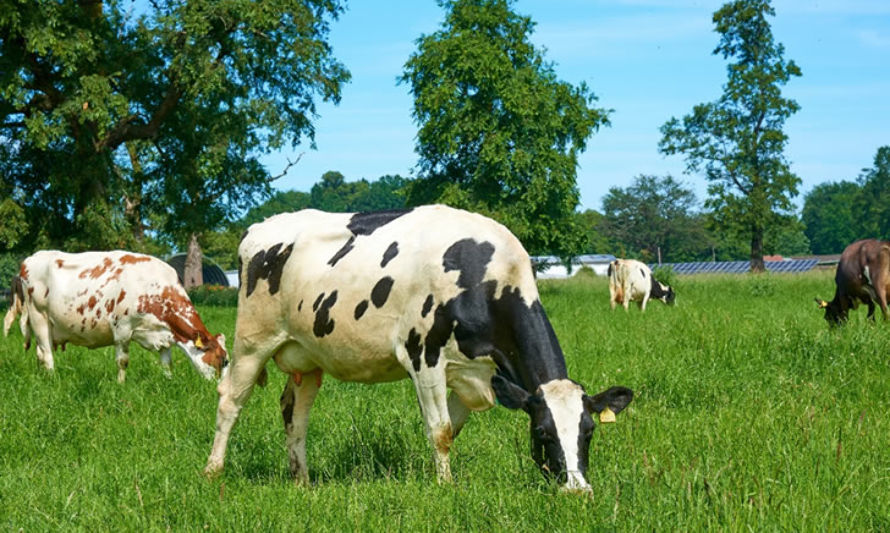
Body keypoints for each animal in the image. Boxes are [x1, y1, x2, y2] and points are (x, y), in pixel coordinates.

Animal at [8, 250, 227, 380]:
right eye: (224, 360)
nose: (220, 390)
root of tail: (30, 259)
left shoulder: (163, 334)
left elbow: (167, 363)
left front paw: (168, 382)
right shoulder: (122, 329)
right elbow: (123, 361)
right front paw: (121, 385)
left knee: (40, 353)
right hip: (39, 318)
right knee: (47, 354)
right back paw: (53, 379)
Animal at [203, 204, 632, 490]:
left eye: (588, 431)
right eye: (542, 432)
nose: (578, 490)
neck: (484, 277)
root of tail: (261, 226)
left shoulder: (475, 375)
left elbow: (452, 429)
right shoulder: (423, 357)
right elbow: (439, 430)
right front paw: (445, 488)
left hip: (307, 357)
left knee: (294, 413)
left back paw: (303, 481)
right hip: (251, 341)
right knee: (230, 401)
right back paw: (213, 470)